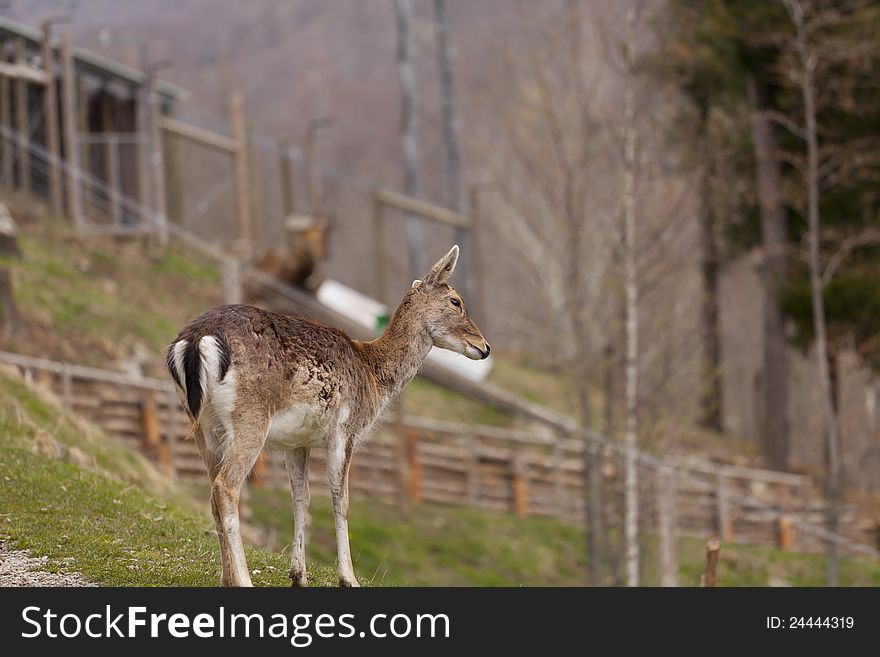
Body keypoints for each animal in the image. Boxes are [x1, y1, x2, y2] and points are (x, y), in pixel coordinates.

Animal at [167, 245, 488, 584]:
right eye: (456, 301)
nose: (484, 346)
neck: (373, 376)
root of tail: (194, 340)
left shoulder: (297, 441)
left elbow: (301, 496)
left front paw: (298, 575)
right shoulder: (345, 430)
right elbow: (340, 498)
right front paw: (349, 578)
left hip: (203, 424)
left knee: (213, 492)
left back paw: (227, 578)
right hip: (250, 417)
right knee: (226, 487)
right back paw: (243, 579)